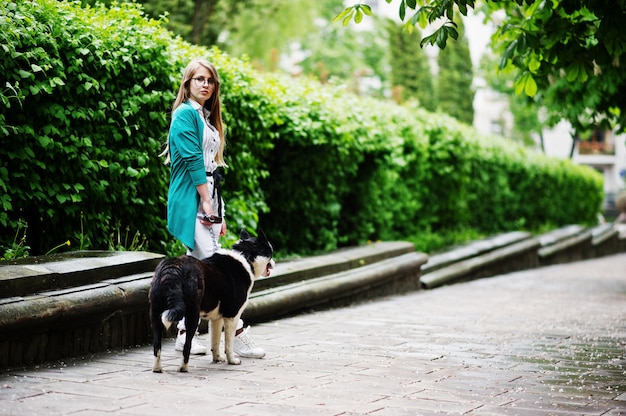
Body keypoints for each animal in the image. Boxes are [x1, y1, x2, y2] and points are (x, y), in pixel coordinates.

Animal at [149, 229, 272, 372]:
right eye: (270, 252)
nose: (273, 262)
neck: (245, 256)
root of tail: (173, 267)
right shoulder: (232, 316)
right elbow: (228, 343)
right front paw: (232, 360)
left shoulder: (216, 319)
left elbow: (215, 341)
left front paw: (217, 358)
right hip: (192, 315)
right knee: (186, 346)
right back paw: (183, 368)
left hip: (156, 313)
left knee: (157, 345)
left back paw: (157, 368)